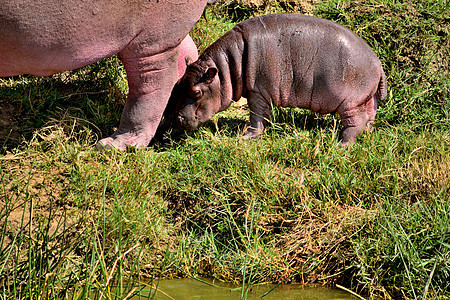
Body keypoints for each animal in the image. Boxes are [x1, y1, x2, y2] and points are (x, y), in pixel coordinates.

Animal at [172, 14, 386, 145]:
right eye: (179, 83)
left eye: (197, 92)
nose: (178, 118)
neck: (227, 66)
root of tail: (378, 63)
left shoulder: (257, 90)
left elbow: (256, 116)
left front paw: (247, 137)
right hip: (367, 99)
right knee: (369, 117)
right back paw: (366, 134)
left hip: (350, 102)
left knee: (355, 122)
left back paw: (341, 144)